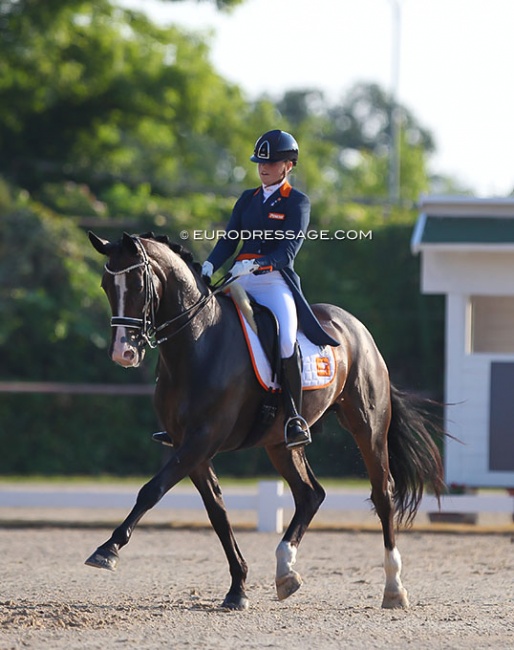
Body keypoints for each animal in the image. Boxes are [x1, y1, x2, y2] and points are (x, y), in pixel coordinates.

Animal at [86, 230, 442, 612]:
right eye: (106, 285)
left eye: (139, 284)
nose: (123, 353)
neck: (198, 342)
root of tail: (357, 328)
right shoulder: (190, 445)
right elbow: (217, 511)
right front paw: (237, 588)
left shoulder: (202, 438)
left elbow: (152, 490)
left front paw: (107, 549)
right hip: (281, 442)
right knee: (310, 494)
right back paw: (286, 572)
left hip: (368, 426)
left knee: (382, 493)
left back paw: (394, 588)